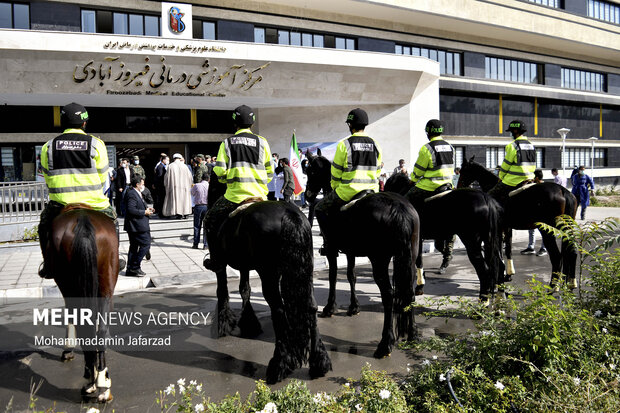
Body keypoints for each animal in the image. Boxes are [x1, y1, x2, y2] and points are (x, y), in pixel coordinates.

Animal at [46, 206, 118, 402]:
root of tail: (83, 223)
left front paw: (67, 349)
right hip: (107, 278)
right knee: (100, 330)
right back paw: (103, 383)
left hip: (67, 281)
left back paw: (90, 381)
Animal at [205, 171, 332, 384]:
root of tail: (289, 214)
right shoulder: (245, 266)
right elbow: (244, 289)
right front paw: (249, 323)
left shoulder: (220, 264)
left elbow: (223, 290)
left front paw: (224, 324)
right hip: (305, 270)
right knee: (311, 307)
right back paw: (319, 363)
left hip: (268, 274)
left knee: (278, 310)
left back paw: (279, 366)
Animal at [304, 151, 418, 358]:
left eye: (311, 171)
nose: (307, 195)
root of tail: (399, 208)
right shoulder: (350, 251)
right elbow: (351, 275)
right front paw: (353, 306)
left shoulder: (332, 249)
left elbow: (333, 276)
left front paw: (330, 307)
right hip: (410, 258)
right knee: (409, 290)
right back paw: (412, 333)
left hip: (379, 260)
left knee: (388, 295)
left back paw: (385, 344)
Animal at [386, 172, 506, 300]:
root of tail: (486, 198)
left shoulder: (417, 238)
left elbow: (419, 260)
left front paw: (420, 286)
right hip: (493, 240)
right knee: (500, 266)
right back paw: (500, 297)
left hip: (472, 242)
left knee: (484, 271)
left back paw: (484, 300)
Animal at [458, 156, 580, 288]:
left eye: (463, 171)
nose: (458, 187)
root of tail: (563, 190)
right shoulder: (507, 228)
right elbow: (508, 249)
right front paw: (509, 274)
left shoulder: (499, 228)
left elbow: (501, 251)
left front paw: (502, 276)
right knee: (572, 252)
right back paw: (570, 283)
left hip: (546, 230)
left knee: (557, 257)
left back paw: (553, 286)